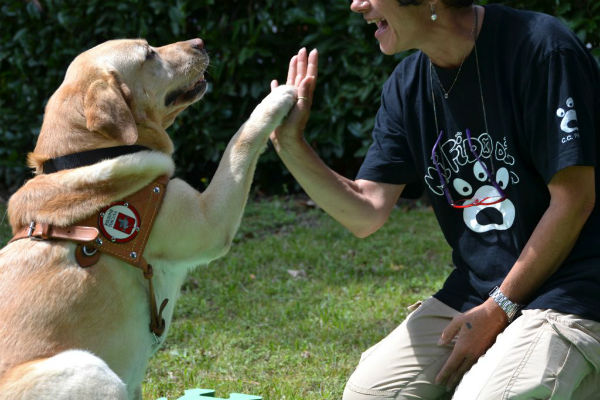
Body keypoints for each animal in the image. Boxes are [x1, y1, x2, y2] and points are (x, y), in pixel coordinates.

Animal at [0, 38, 298, 400]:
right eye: (148, 54)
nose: (200, 41)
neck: (90, 156)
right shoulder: (210, 220)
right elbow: (239, 139)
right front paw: (277, 97)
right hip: (91, 369)